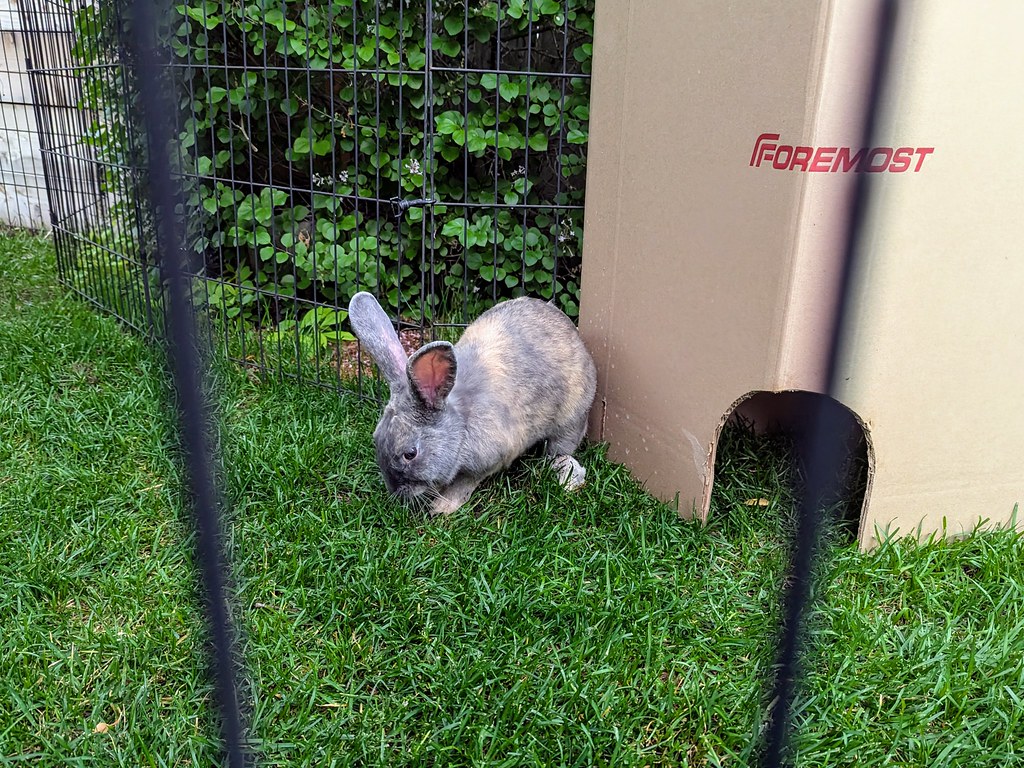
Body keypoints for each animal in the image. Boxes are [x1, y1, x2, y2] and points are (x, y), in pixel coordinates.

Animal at [347, 291, 597, 516]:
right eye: (376, 439)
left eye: (410, 454)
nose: (395, 492)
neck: (461, 423)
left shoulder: (489, 459)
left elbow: (464, 483)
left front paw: (442, 508)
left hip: (571, 417)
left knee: (561, 446)